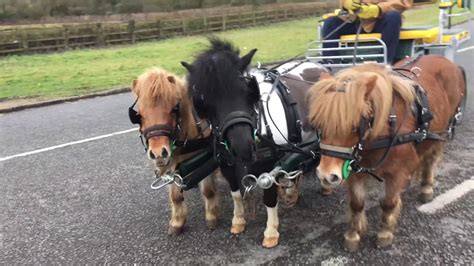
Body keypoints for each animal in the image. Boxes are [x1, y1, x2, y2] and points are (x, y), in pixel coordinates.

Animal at [130, 68, 218, 235]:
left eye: (173, 109)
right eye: (139, 115)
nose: (158, 153)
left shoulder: (207, 157)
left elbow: (208, 190)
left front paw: (212, 215)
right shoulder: (171, 165)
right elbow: (175, 196)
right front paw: (178, 222)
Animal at [308, 55, 466, 250]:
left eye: (353, 126)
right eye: (318, 125)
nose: (326, 176)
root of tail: (446, 61)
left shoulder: (397, 172)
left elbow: (388, 203)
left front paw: (385, 233)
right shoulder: (354, 171)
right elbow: (356, 203)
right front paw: (353, 235)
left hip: (441, 133)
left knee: (430, 160)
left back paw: (427, 187)